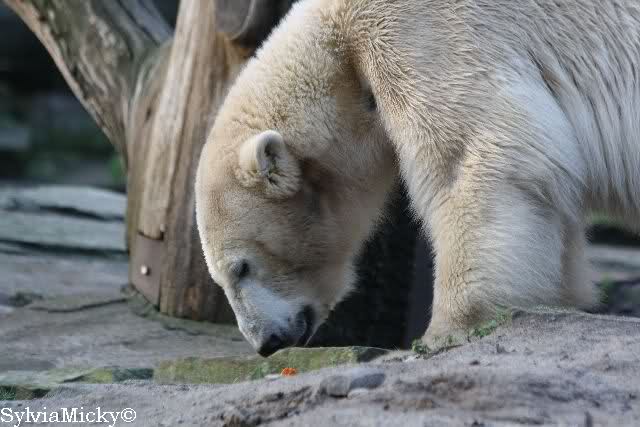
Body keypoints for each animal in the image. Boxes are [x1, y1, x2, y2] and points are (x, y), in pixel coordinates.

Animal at [196, 0, 640, 356]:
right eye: (219, 278)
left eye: (241, 268)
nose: (265, 343)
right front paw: (561, 296)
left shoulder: (425, 34)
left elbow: (471, 155)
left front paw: (446, 329)